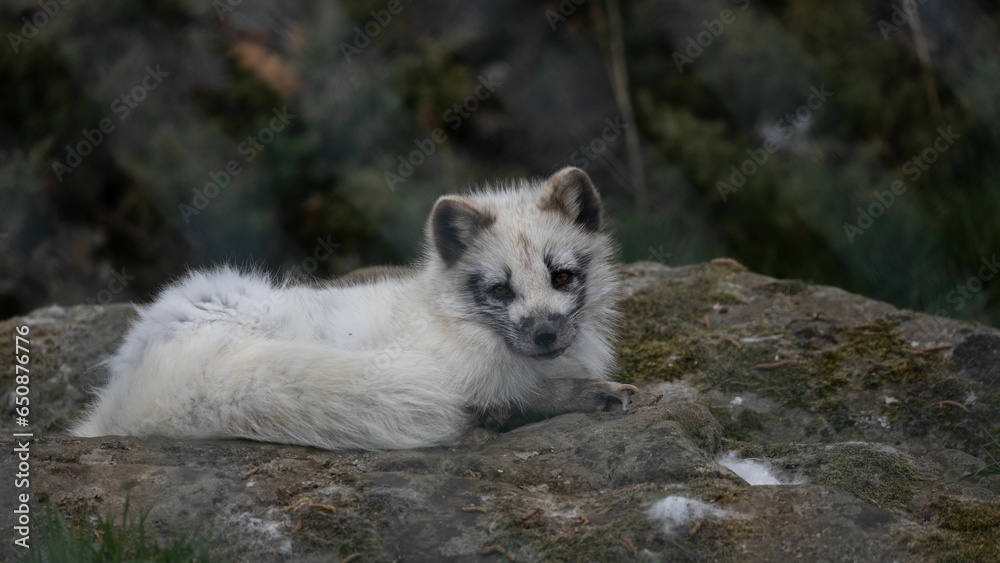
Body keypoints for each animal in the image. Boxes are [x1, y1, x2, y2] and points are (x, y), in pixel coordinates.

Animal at [72, 167, 637, 450]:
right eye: (500, 291)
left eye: (561, 276)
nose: (545, 335)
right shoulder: (474, 383)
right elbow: (522, 398)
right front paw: (594, 394)